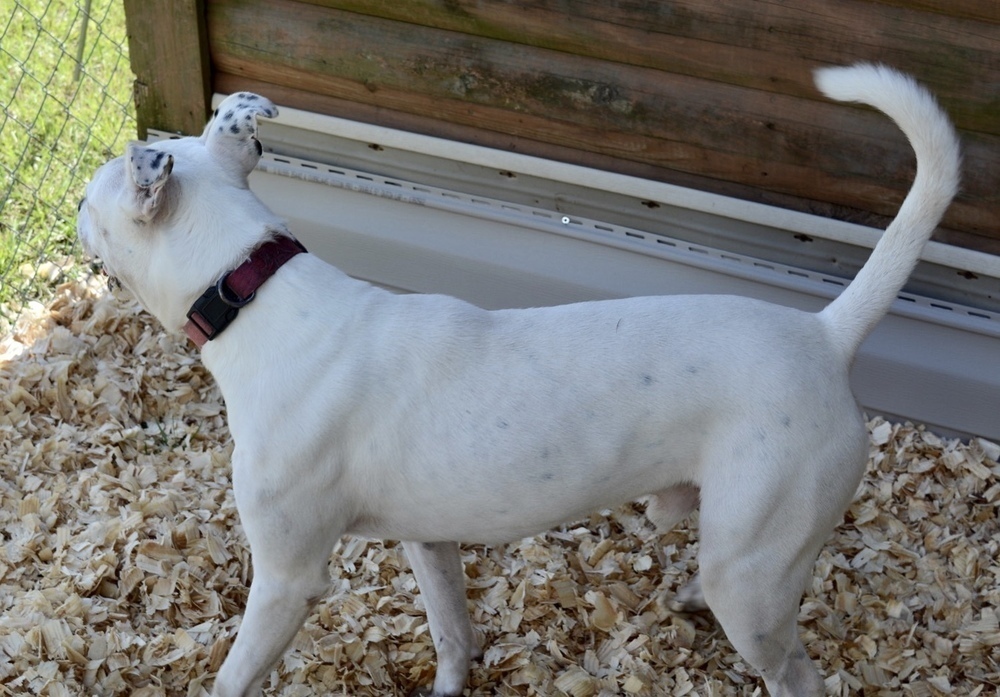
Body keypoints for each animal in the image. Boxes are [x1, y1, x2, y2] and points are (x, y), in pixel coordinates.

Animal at [78, 62, 960, 692]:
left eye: (90, 198)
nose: (75, 208)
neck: (256, 296)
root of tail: (823, 332)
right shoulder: (426, 537)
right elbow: (452, 635)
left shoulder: (289, 578)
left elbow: (232, 675)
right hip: (741, 548)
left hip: (756, 571)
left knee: (797, 674)